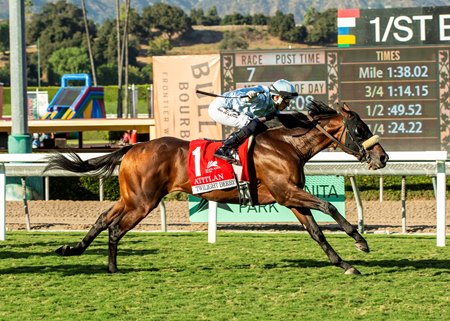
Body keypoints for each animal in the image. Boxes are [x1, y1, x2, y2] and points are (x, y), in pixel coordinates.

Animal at [46, 101, 390, 274]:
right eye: (361, 129)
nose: (383, 157)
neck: (288, 144)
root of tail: (132, 147)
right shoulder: (287, 192)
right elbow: (329, 206)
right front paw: (360, 241)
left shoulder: (290, 198)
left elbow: (316, 232)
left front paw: (345, 264)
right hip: (143, 201)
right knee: (116, 228)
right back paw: (113, 267)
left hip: (132, 196)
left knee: (103, 217)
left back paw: (72, 249)